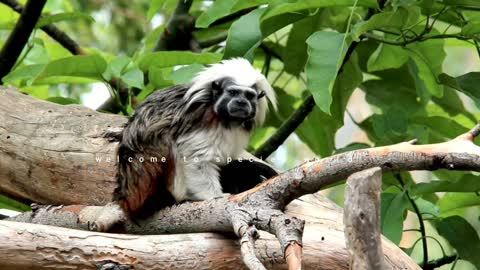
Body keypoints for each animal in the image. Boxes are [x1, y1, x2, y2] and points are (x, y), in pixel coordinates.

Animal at [85, 59, 278, 230]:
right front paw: (214, 197)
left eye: (249, 96)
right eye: (233, 93)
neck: (226, 118)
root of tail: (125, 196)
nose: (241, 102)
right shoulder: (203, 120)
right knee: (164, 140)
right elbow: (196, 158)